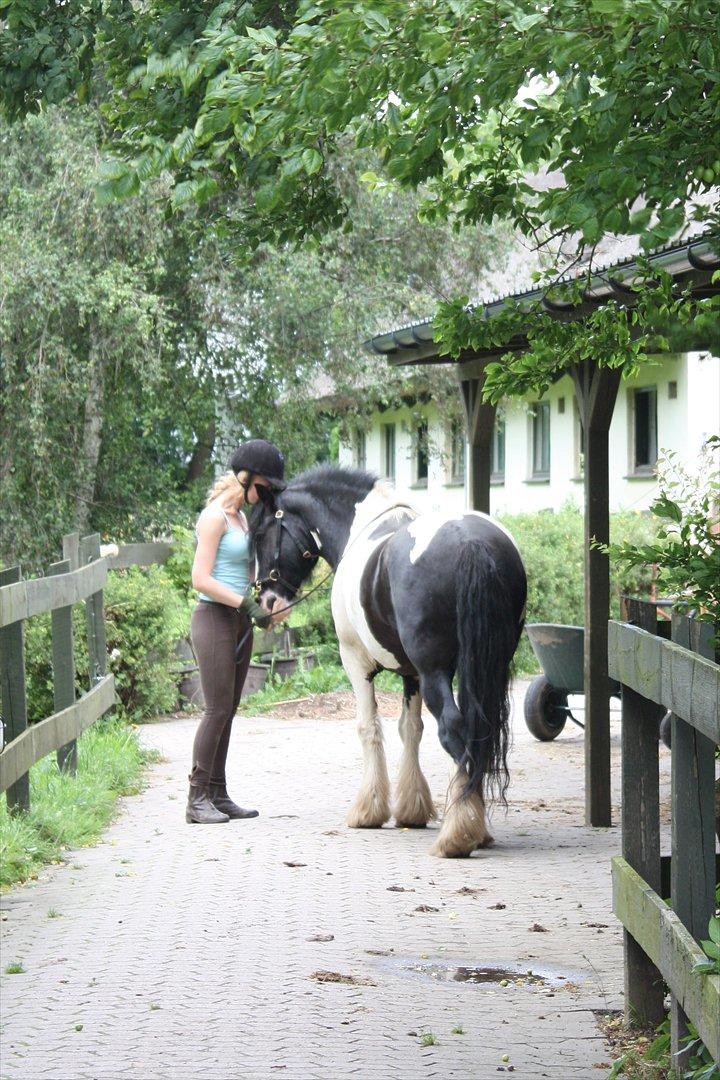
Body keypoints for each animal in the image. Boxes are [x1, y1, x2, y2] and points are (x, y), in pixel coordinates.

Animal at [250, 468, 526, 855]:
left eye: (260, 533)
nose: (266, 602)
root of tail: (469, 541)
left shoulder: (355, 662)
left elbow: (369, 728)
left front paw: (369, 810)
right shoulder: (412, 675)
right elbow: (411, 729)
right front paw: (412, 808)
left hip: (436, 672)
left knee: (453, 729)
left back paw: (457, 833)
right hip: (487, 668)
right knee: (477, 729)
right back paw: (476, 825)